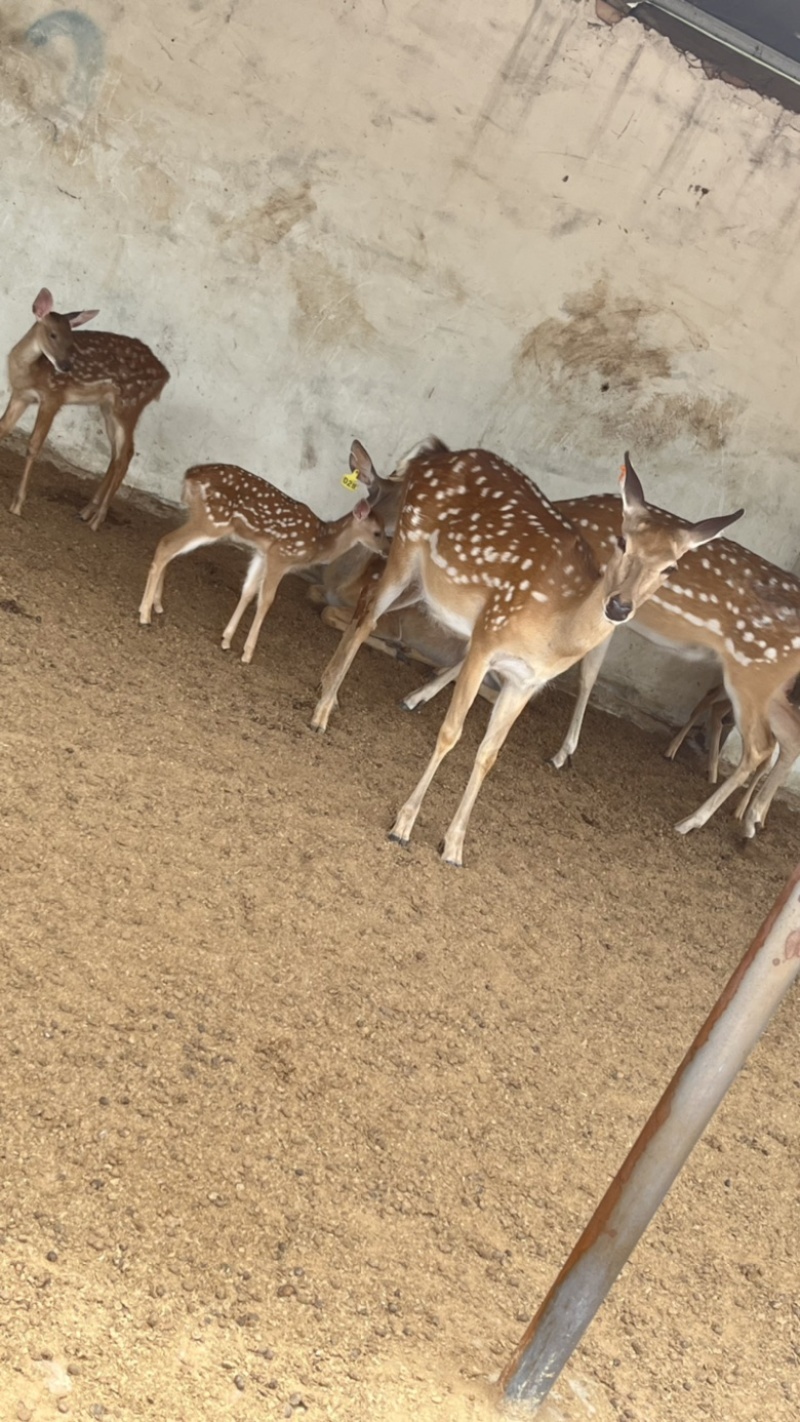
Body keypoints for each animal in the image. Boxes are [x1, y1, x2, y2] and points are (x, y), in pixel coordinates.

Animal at [0, 287, 169, 530]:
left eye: (72, 339)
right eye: (53, 335)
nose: (65, 366)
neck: (28, 371)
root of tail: (165, 376)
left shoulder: (53, 397)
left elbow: (34, 446)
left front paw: (17, 505)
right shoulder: (20, 395)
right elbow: (3, 428)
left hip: (129, 404)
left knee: (127, 453)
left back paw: (97, 519)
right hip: (108, 407)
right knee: (116, 453)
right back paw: (87, 510)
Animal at [138, 462, 388, 664]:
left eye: (386, 531)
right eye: (377, 532)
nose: (386, 551)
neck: (319, 542)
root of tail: (190, 474)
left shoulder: (262, 553)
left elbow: (248, 591)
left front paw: (226, 639)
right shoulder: (281, 555)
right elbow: (266, 599)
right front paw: (247, 653)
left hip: (196, 515)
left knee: (167, 545)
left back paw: (156, 605)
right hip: (212, 521)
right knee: (167, 545)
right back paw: (144, 614)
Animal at [309, 442, 742, 866]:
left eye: (672, 568)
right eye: (623, 542)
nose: (620, 606)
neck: (554, 630)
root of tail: (437, 456)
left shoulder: (525, 680)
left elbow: (489, 753)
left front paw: (454, 847)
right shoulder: (485, 641)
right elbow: (450, 732)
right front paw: (403, 825)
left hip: (428, 584)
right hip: (405, 546)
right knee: (367, 614)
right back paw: (323, 711)